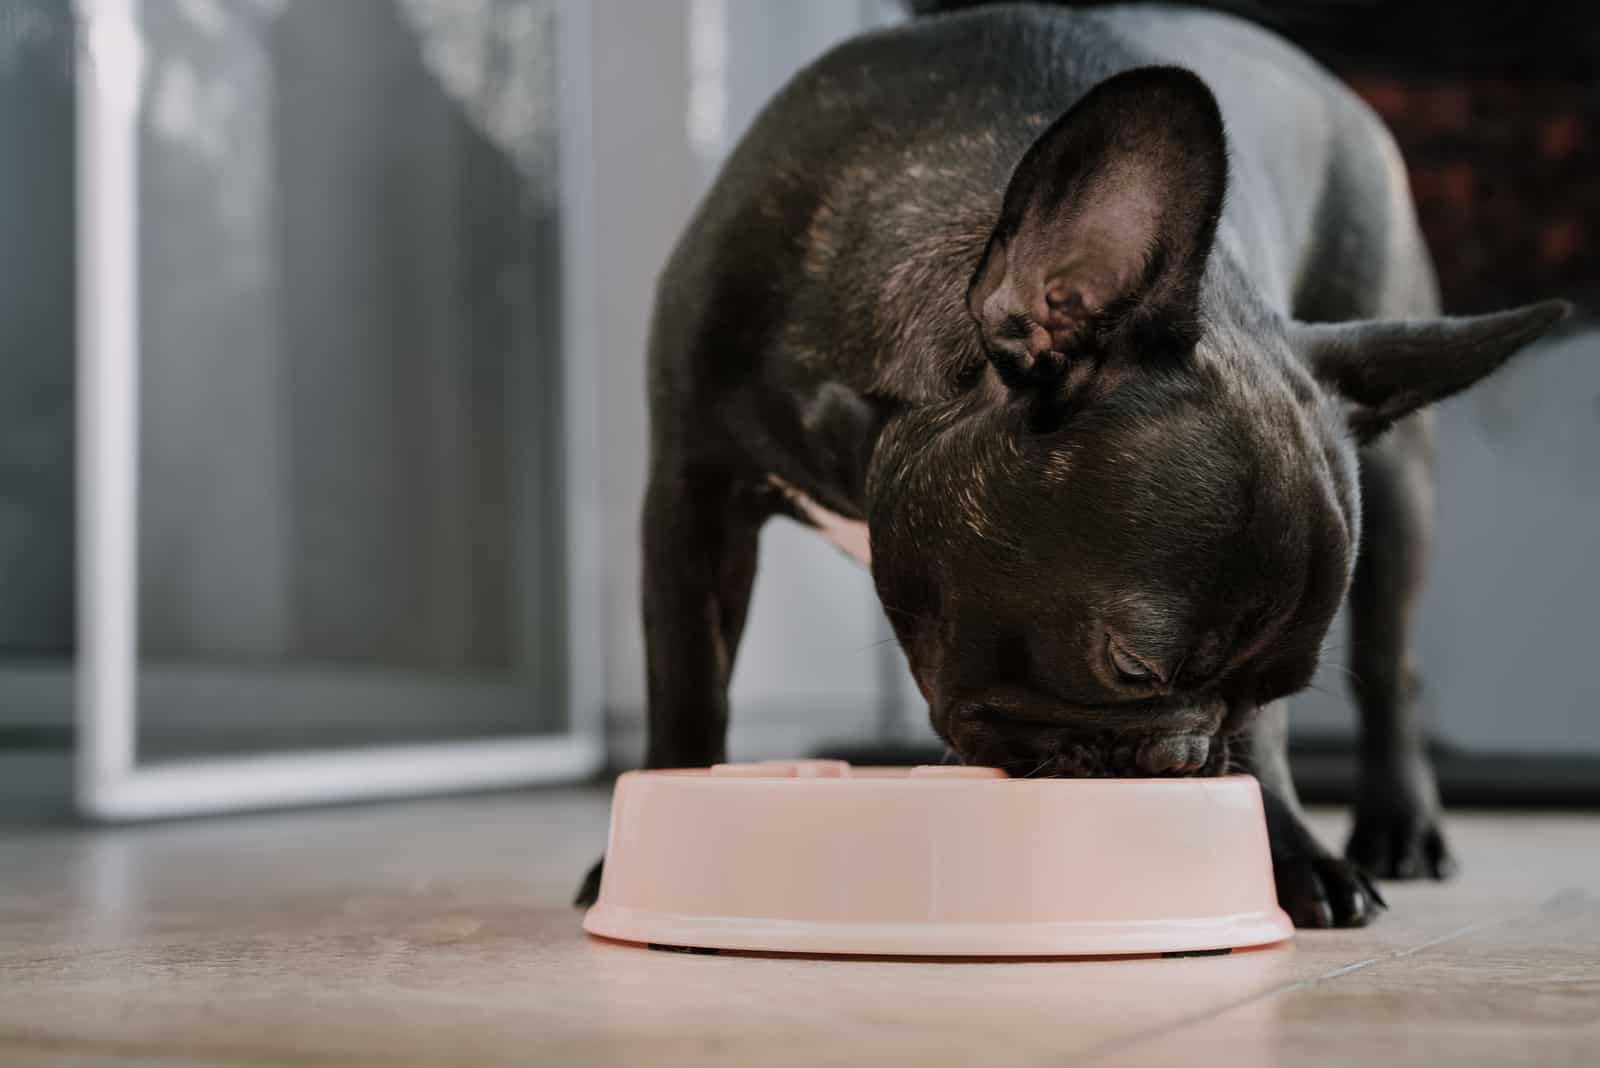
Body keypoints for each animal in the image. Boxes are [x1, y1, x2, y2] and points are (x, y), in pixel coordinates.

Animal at [576, 2, 1561, 927]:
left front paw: (1285, 847)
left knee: (1394, 669)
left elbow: (1274, 745)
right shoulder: (691, 498)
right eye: (1131, 668)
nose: (1184, 760)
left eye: (1271, 690)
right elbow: (687, 687)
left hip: (1398, 493)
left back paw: (1403, 824)